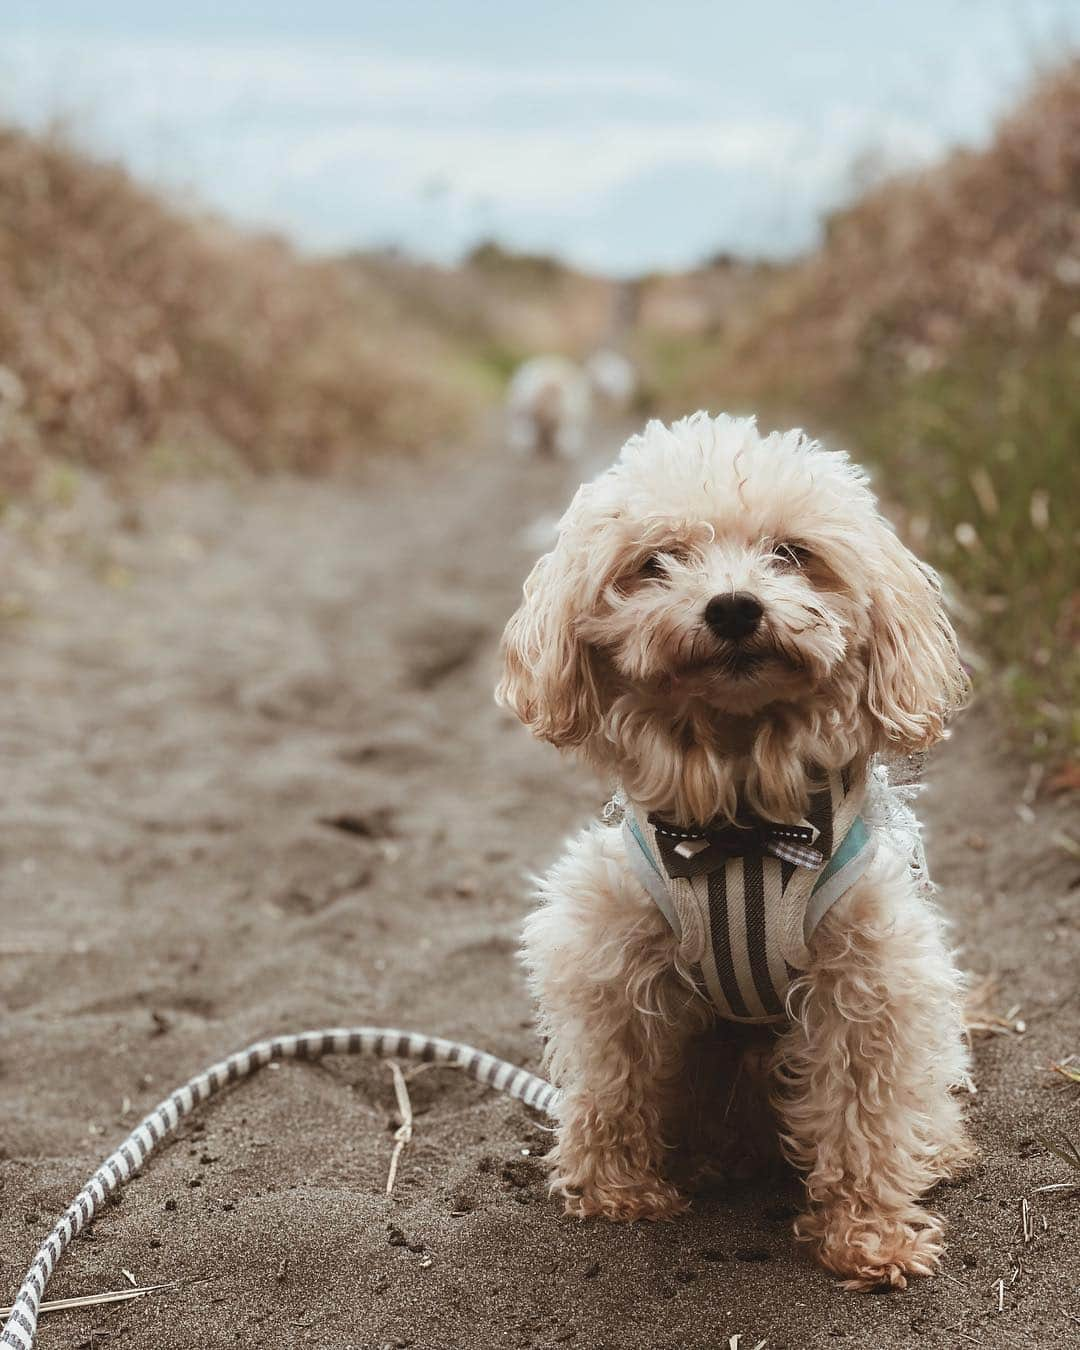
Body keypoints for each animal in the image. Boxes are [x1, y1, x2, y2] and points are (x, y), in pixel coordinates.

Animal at [502, 407, 972, 1285]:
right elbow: (615, 1082)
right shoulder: (610, 953)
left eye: (791, 553)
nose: (732, 608)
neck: (743, 826)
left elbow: (861, 1111)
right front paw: (617, 1190)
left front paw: (869, 1236)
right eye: (656, 562)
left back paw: (937, 1150)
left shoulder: (868, 978)